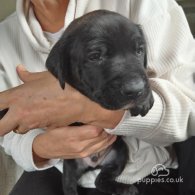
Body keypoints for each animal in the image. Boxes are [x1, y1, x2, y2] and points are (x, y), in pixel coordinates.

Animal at [45, 10, 154, 195]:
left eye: (139, 51)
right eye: (95, 56)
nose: (136, 89)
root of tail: (93, 162)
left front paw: (145, 99)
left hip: (119, 153)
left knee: (100, 180)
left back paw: (123, 189)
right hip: (70, 164)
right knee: (69, 186)